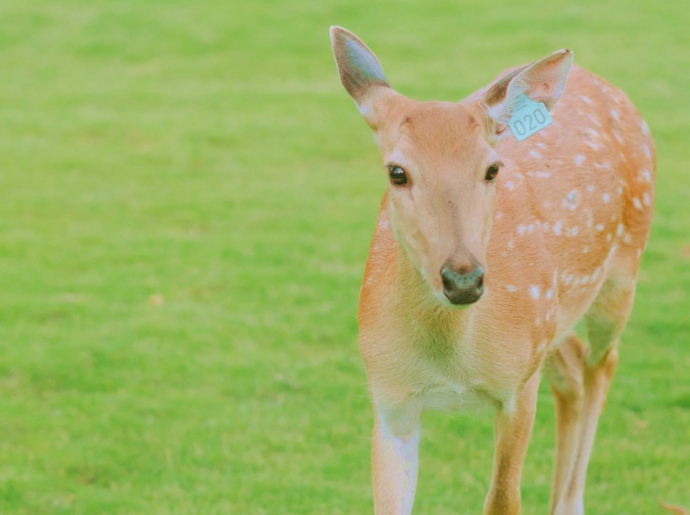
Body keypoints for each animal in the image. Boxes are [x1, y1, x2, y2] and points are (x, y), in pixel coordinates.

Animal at [328, 26, 652, 512]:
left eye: (493, 168)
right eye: (397, 172)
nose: (463, 279)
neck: (451, 359)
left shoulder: (518, 386)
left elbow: (502, 498)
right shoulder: (388, 393)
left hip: (620, 275)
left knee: (603, 364)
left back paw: (570, 501)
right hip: (553, 318)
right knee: (572, 368)